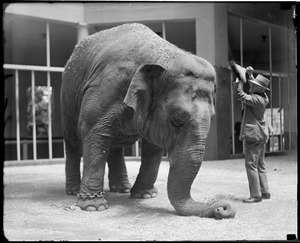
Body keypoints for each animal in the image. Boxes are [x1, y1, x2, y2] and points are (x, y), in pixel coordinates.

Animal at [61, 22, 237, 219]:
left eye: (212, 118)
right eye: (176, 120)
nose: (222, 208)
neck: (163, 57)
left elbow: (153, 147)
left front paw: (145, 196)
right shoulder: (106, 88)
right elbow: (94, 133)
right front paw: (93, 207)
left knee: (114, 145)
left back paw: (122, 189)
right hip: (67, 99)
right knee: (74, 142)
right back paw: (74, 191)